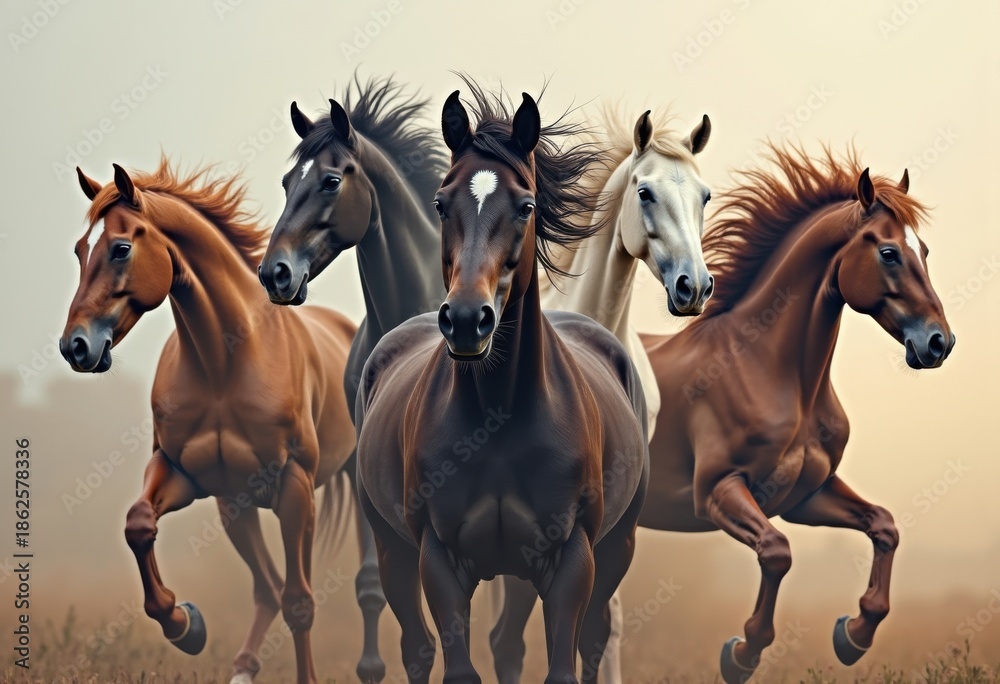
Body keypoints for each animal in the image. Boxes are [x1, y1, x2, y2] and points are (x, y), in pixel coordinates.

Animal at [60, 161, 358, 684]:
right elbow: (138, 524)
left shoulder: (295, 487)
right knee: (266, 587)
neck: (225, 363)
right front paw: (185, 624)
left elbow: (300, 602)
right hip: (236, 508)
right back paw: (241, 667)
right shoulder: (187, 475)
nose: (74, 346)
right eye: (80, 249)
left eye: (120, 248)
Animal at [354, 84, 650, 684]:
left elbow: (562, 663)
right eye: (441, 203)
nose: (468, 320)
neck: (498, 418)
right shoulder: (437, 558)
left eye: (526, 205)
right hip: (393, 549)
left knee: (587, 641)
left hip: (615, 547)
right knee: (419, 648)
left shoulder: (572, 557)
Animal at [637, 145, 955, 683]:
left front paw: (853, 634)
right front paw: (742, 654)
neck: (771, 371)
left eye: (925, 252)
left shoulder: (806, 495)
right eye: (889, 253)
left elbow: (884, 525)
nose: (939, 343)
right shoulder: (718, 491)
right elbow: (777, 552)